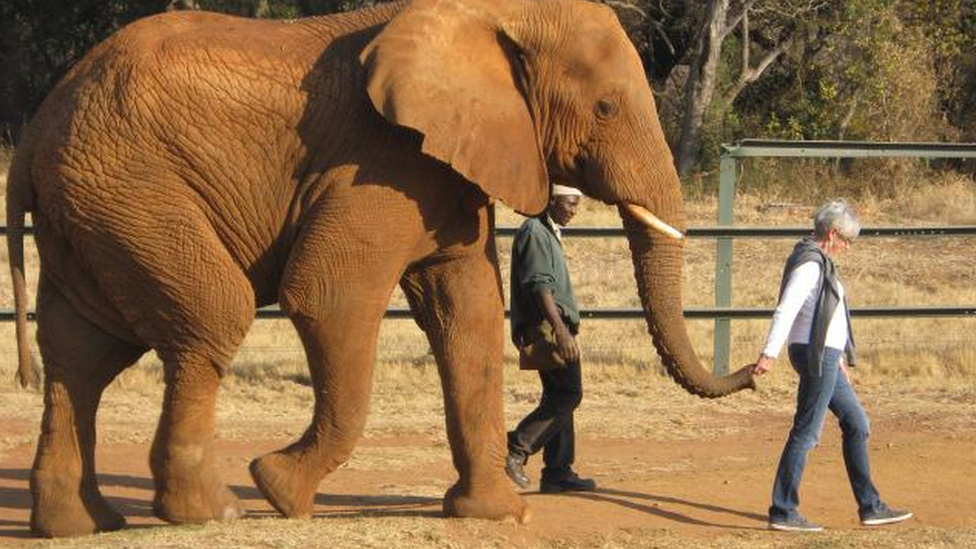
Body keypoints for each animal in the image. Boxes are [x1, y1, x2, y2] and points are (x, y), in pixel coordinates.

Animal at [5, 0, 756, 536]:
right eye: (604, 106)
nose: (753, 371)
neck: (497, 12)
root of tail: (34, 132)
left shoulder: (446, 166)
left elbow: (470, 313)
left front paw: (496, 514)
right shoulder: (382, 161)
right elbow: (327, 294)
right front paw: (279, 489)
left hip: (95, 207)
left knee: (82, 354)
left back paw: (82, 524)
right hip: (130, 188)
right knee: (211, 317)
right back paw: (209, 512)